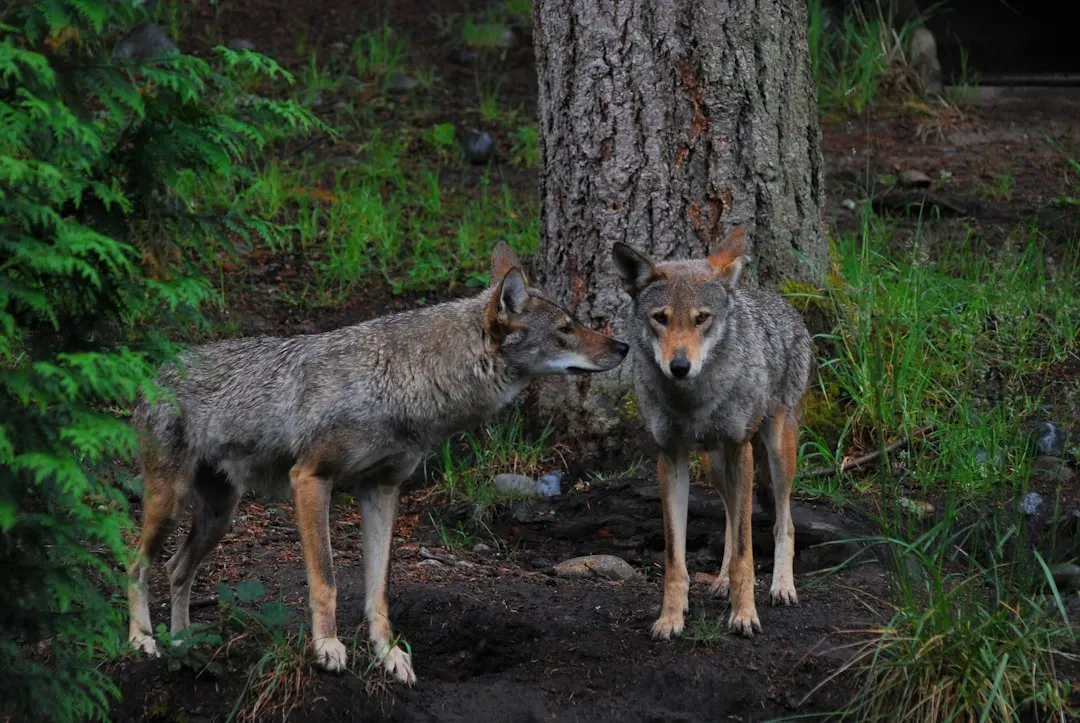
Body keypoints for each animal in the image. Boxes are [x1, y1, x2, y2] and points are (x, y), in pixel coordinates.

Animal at [127, 242, 628, 684]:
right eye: (566, 329)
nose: (623, 346)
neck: (401, 381)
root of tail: (157, 369)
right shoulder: (311, 480)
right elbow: (326, 581)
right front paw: (327, 648)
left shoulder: (383, 492)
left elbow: (378, 593)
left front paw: (389, 656)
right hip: (170, 506)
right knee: (136, 565)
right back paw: (143, 641)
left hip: (219, 517)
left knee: (175, 570)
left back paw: (184, 645)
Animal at [611, 229, 812, 639]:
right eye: (661, 319)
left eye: (701, 318)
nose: (679, 366)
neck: (693, 401)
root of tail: (778, 301)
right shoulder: (671, 457)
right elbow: (676, 558)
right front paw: (671, 618)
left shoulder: (739, 448)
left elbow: (745, 554)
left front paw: (745, 615)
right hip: (715, 465)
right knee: (732, 519)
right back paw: (720, 582)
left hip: (775, 452)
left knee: (784, 523)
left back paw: (782, 587)